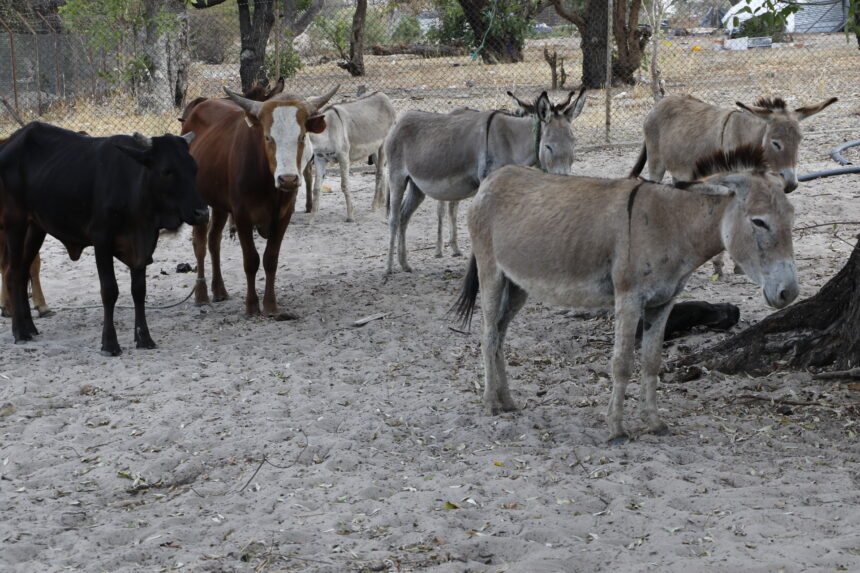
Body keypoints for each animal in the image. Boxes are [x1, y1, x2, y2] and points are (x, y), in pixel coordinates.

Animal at [0, 122, 207, 354]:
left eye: (194, 168)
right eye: (167, 171)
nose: (202, 213)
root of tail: (11, 142)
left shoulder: (142, 246)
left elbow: (139, 290)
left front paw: (144, 338)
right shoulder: (102, 240)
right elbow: (109, 290)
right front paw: (109, 343)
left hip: (36, 228)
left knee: (23, 272)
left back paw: (29, 327)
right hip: (15, 222)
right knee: (12, 272)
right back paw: (19, 331)